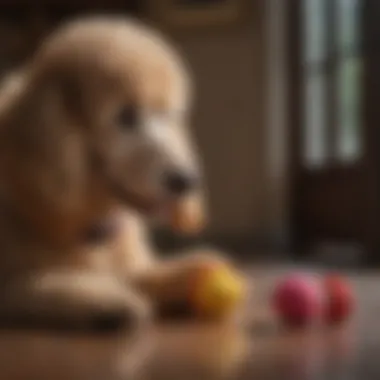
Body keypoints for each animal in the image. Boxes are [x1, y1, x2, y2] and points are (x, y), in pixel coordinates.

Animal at [0, 15, 235, 330]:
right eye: (126, 116)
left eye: (168, 115)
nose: (186, 180)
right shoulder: (12, 284)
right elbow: (42, 287)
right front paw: (106, 300)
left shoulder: (131, 266)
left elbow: (144, 275)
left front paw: (192, 272)